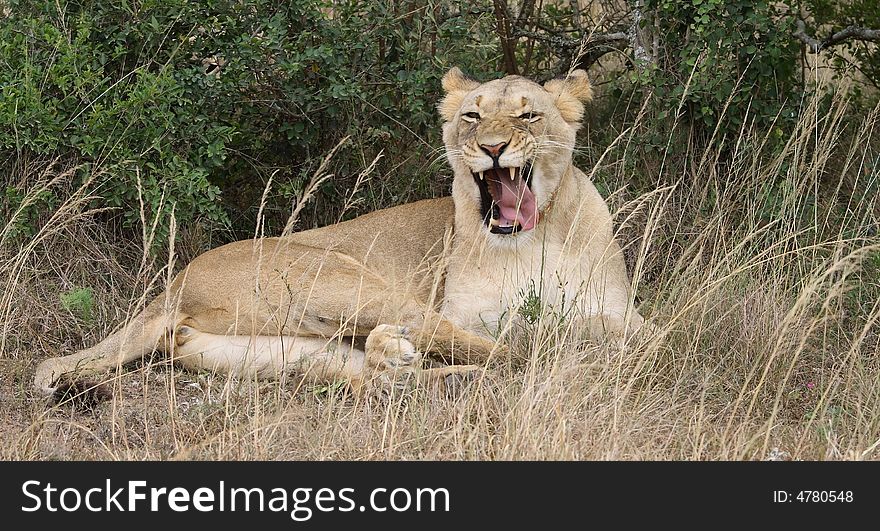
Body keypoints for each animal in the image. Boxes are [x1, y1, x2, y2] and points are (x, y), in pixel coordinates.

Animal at [32, 67, 648, 400]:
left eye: (528, 116)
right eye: (472, 117)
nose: (492, 147)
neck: (528, 240)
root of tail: (173, 285)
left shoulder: (625, 313)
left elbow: (624, 329)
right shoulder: (467, 310)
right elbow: (523, 331)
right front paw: (553, 337)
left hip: (278, 351)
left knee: (374, 377)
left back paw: (407, 364)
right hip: (341, 279)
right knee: (492, 352)